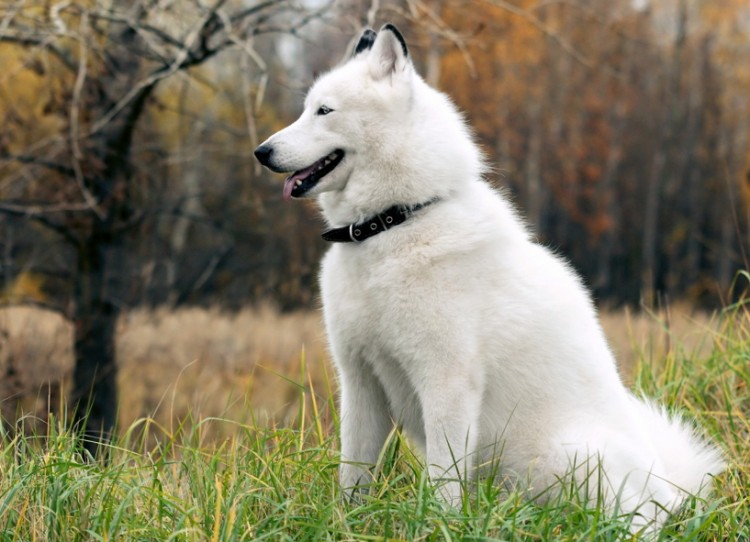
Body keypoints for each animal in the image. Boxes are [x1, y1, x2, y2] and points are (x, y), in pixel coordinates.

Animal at [256, 23, 724, 528]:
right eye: (306, 108)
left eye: (324, 111)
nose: (261, 152)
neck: (395, 223)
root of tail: (671, 493)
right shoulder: (361, 381)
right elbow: (353, 475)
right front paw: (350, 525)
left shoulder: (446, 382)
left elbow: (443, 480)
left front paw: (438, 527)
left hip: (568, 456)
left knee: (631, 523)